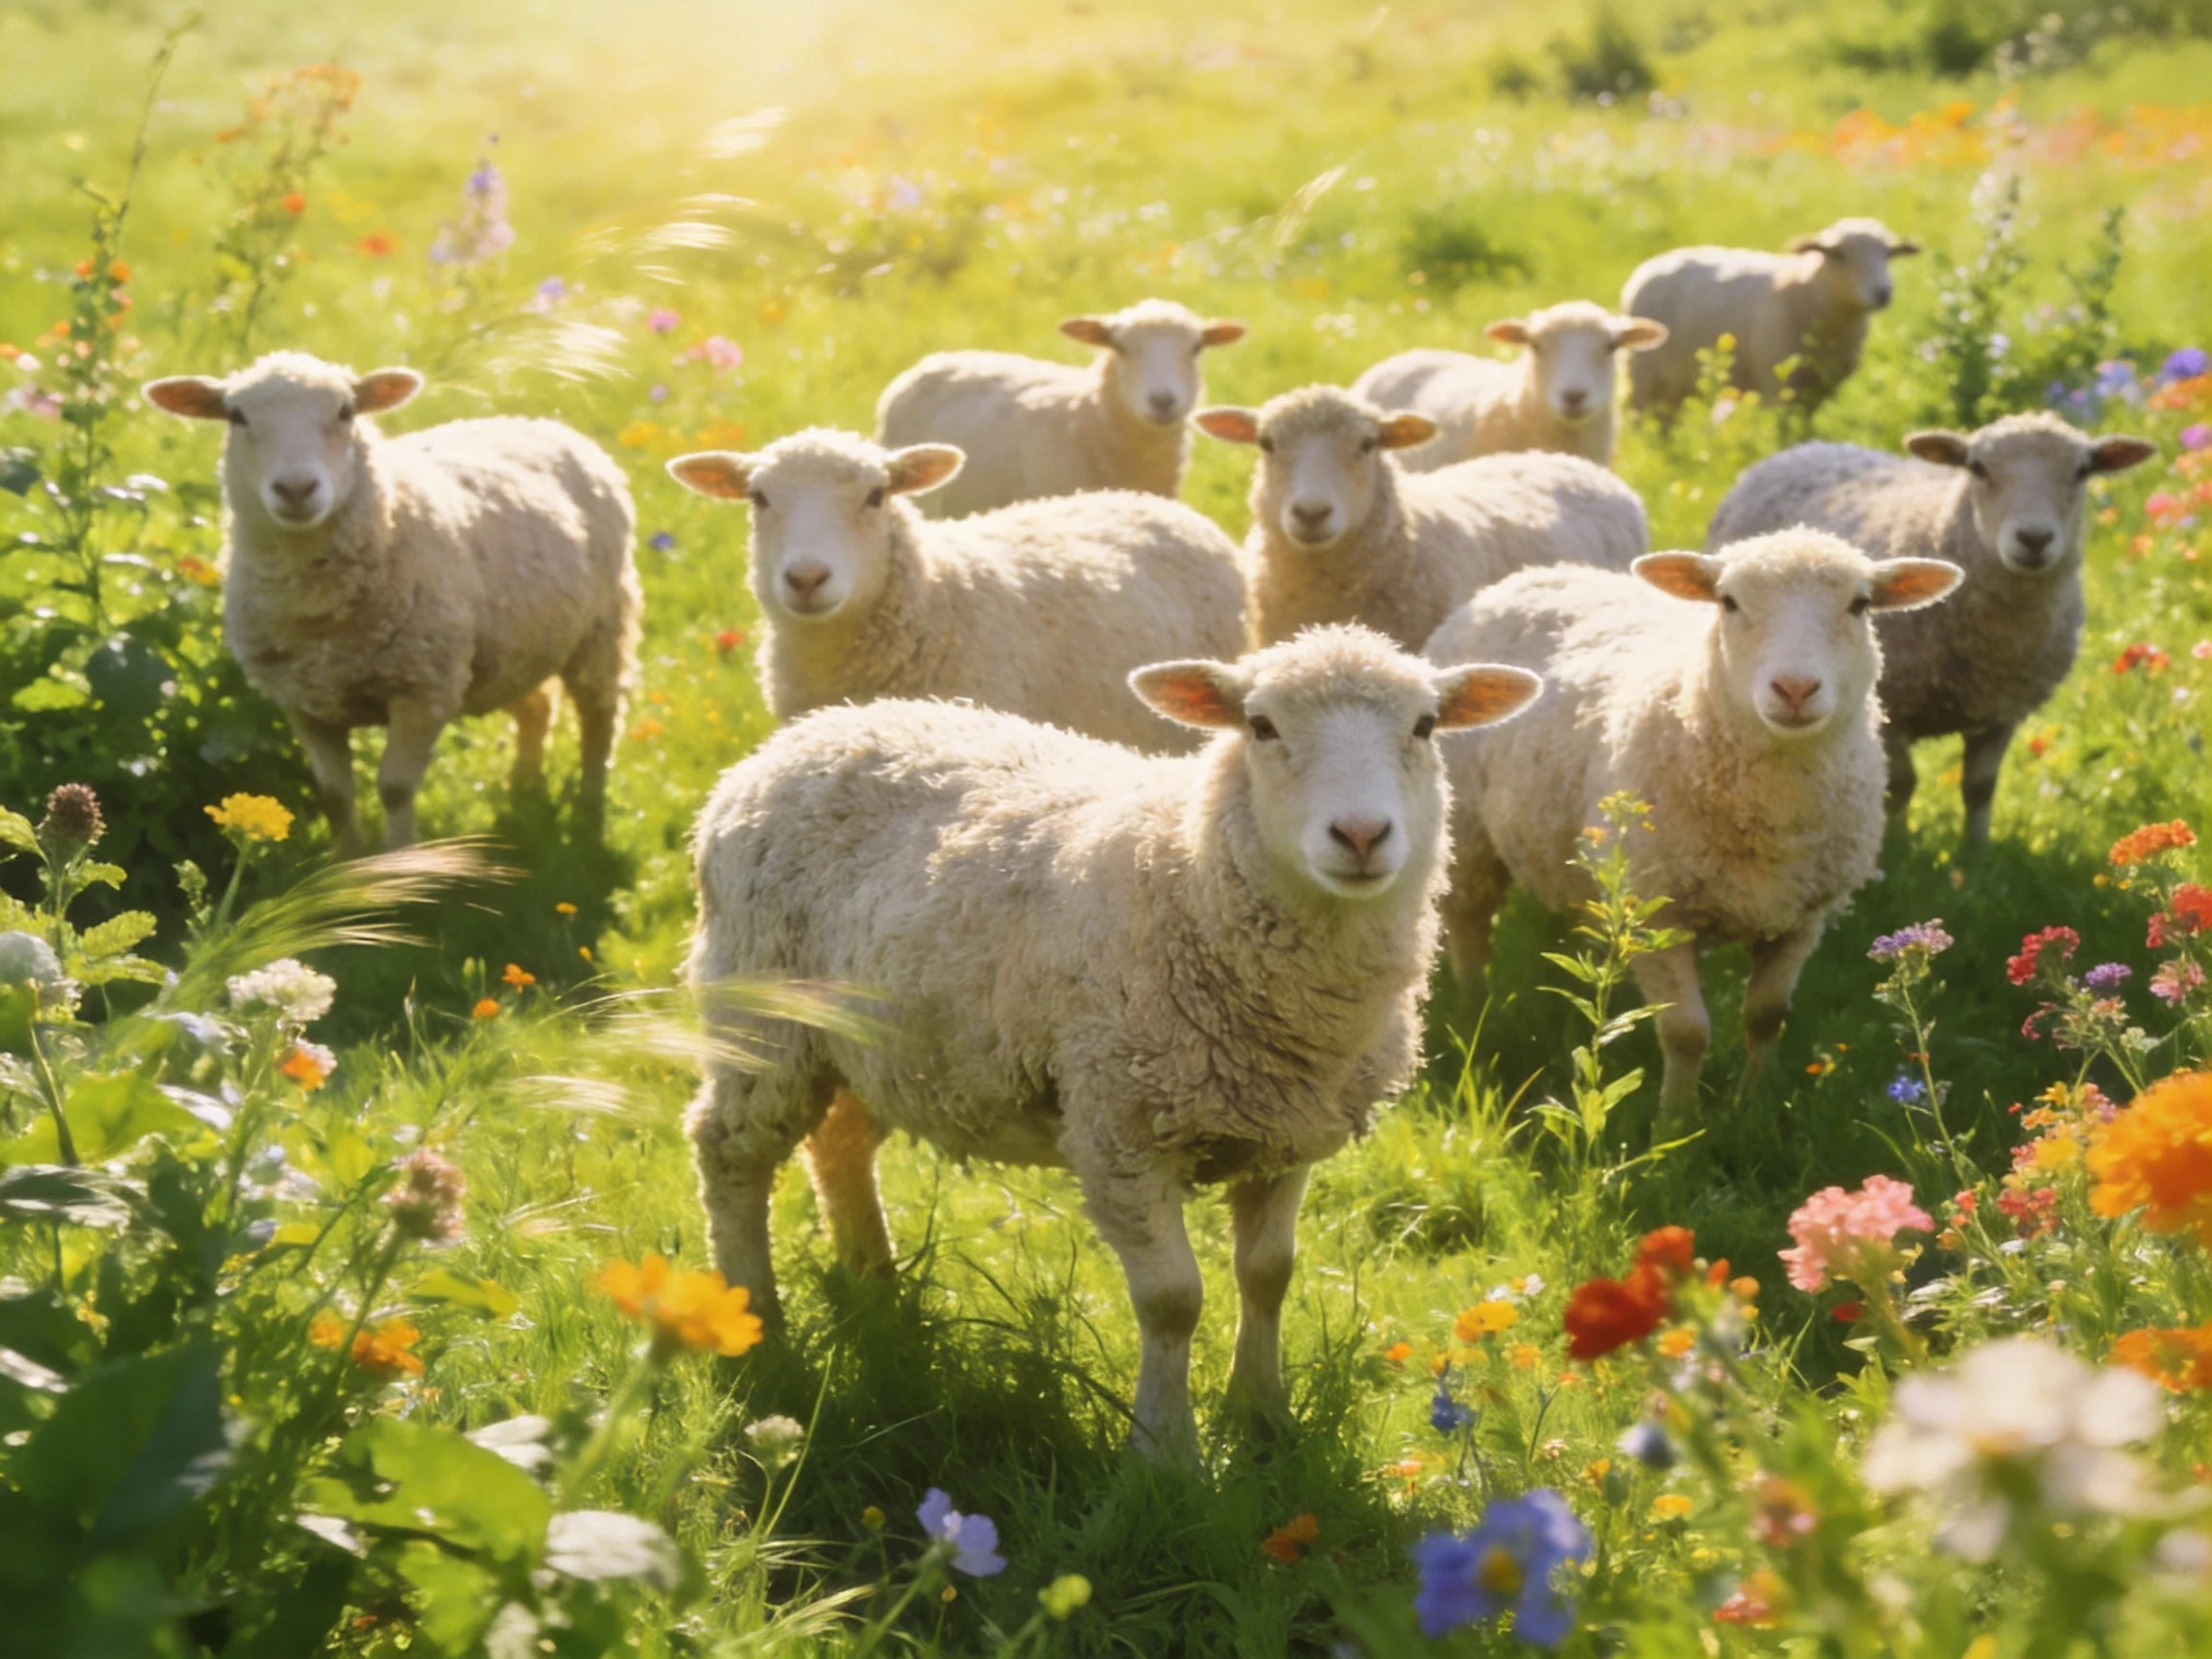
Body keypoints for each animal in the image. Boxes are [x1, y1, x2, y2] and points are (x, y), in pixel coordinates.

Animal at [143, 352, 639, 852]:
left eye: (346, 411)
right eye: (236, 416)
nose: (296, 489)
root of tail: (533, 421)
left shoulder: (422, 688)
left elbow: (395, 789)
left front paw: (399, 861)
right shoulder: (302, 703)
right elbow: (335, 795)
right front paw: (347, 864)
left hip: (603, 627)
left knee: (600, 719)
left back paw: (588, 812)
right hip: (517, 645)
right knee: (536, 707)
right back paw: (523, 790)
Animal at [684, 626, 1541, 1457]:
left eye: (1425, 726)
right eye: (1261, 726)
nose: (1361, 834)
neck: (1191, 876)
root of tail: (809, 731)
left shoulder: (1288, 1131)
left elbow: (1269, 1274)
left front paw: (1262, 1416)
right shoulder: (1120, 1129)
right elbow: (1172, 1302)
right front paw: (1164, 1453)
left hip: (878, 1044)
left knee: (839, 1143)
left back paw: (876, 1279)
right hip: (763, 1017)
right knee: (728, 1154)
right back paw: (758, 1323)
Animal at [1423, 530, 1961, 1128]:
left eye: (1860, 604)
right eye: (1728, 602)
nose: (1795, 689)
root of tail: (1530, 575)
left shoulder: (1803, 917)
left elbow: (1767, 1016)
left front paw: (1755, 1103)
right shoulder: (1655, 910)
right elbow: (1686, 1032)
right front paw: (1675, 1122)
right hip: (1470, 836)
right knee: (1469, 926)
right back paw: (1475, 1009)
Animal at [1621, 218, 1920, 418]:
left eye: (1889, 254)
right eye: (1838, 254)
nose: (1882, 293)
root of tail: (1646, 269)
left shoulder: (1817, 390)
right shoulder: (1776, 386)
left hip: (1678, 380)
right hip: (1644, 376)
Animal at [1704, 413, 2158, 844]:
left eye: (2082, 470)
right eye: (1978, 467)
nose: (2033, 538)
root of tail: (1807, 447)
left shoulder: (2002, 712)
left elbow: (1980, 787)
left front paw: (1975, 854)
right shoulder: (1894, 704)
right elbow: (1901, 785)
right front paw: (1900, 846)